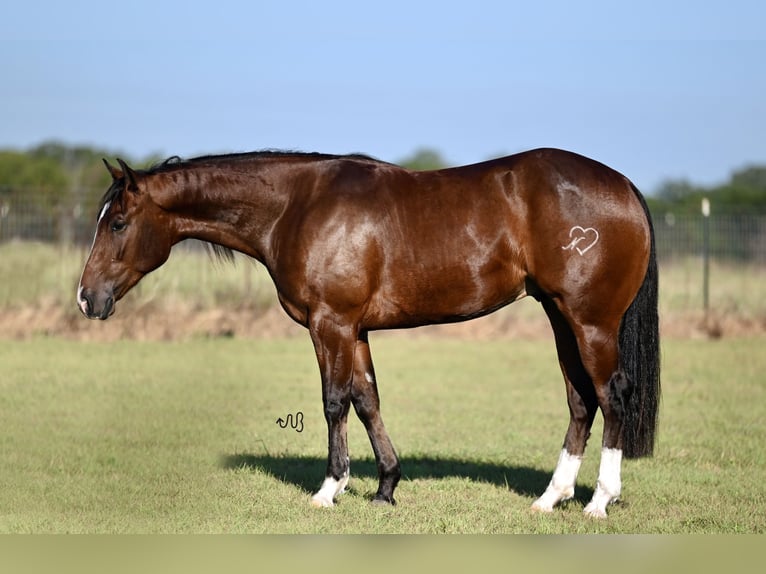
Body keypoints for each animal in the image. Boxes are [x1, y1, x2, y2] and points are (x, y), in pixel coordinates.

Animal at [81, 146, 664, 520]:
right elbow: (367, 401)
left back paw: (599, 502)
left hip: (589, 321)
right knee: (580, 400)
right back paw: (550, 498)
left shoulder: (330, 323)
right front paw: (385, 487)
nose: (87, 298)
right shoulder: (354, 329)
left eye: (117, 223)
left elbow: (334, 402)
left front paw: (329, 489)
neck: (296, 205)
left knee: (612, 395)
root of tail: (624, 186)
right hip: (560, 316)